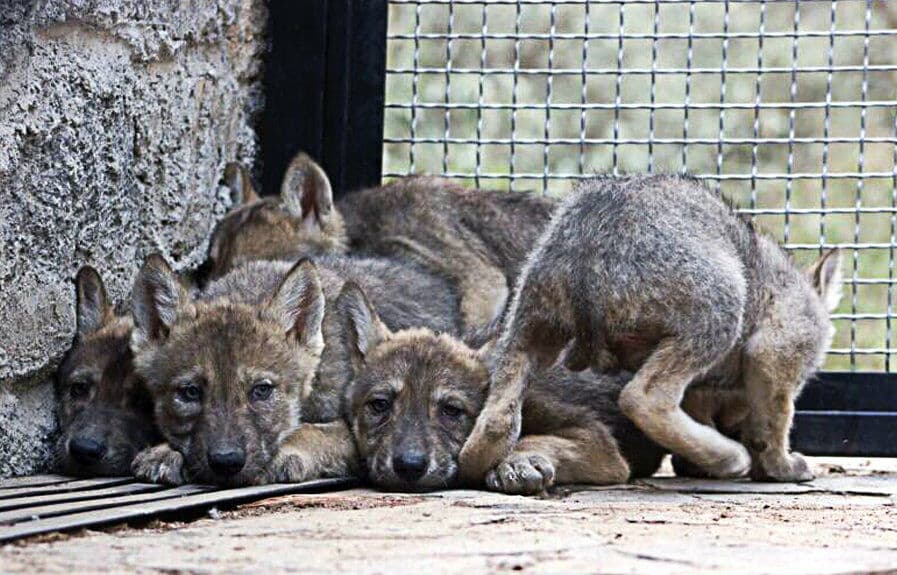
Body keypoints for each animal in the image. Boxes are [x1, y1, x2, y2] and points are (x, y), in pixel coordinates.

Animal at [460, 175, 843, 483]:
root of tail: (592, 227)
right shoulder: (776, 352)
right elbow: (775, 421)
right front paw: (781, 466)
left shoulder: (707, 389)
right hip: (722, 309)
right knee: (642, 397)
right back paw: (729, 457)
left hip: (525, 328)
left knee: (494, 426)